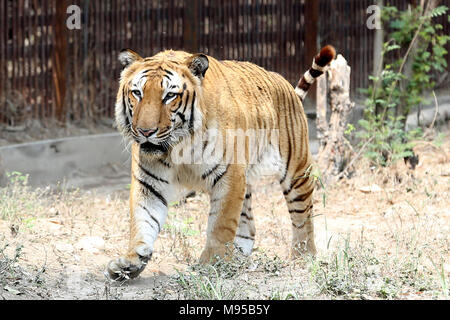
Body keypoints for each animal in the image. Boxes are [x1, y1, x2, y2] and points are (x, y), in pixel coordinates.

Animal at [106, 45, 334, 280]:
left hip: (296, 170)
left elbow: (220, 223)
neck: (178, 146)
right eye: (137, 93)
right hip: (247, 180)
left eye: (169, 96)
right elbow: (143, 221)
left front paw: (211, 263)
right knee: (249, 226)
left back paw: (303, 255)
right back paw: (238, 255)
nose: (145, 131)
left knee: (302, 214)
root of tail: (285, 85)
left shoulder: (229, 177)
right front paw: (131, 262)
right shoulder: (149, 183)